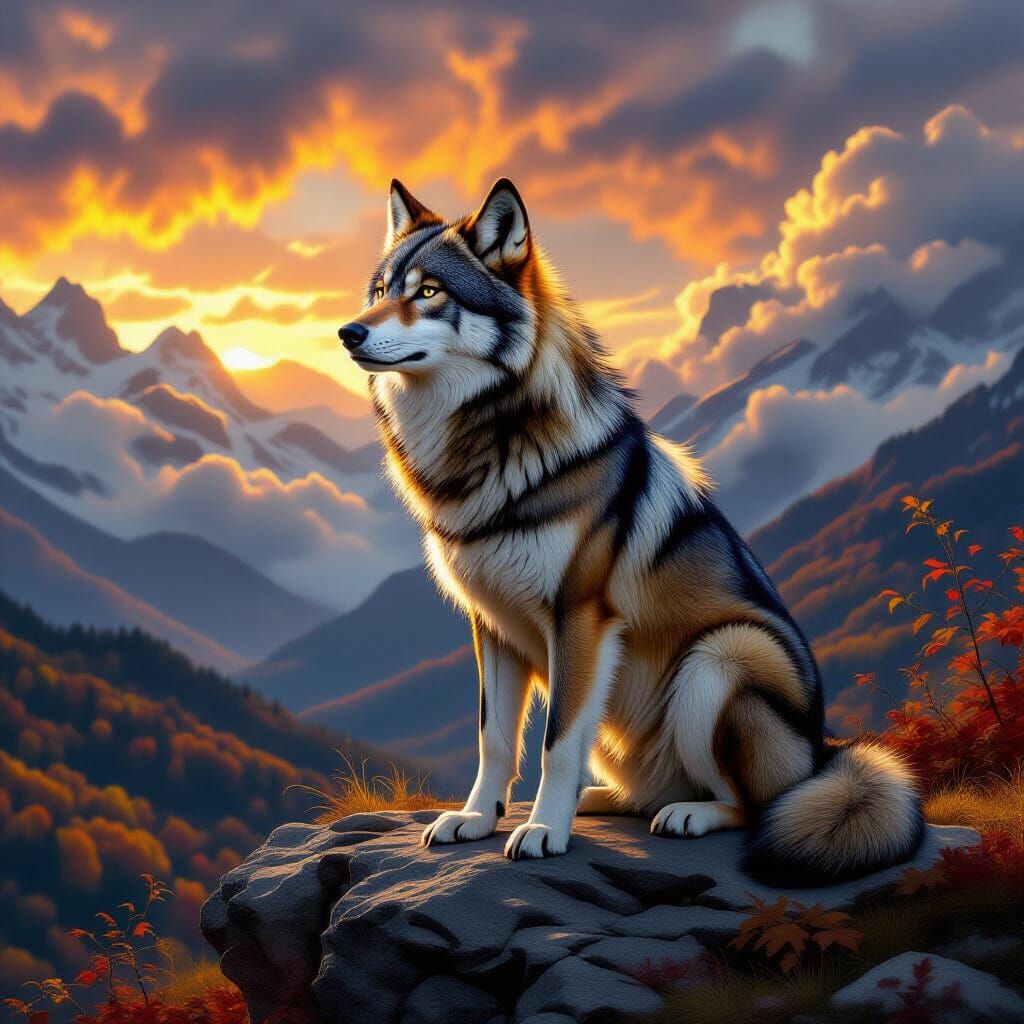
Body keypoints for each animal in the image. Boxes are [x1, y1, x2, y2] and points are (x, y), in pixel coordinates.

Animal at [337, 177, 924, 882]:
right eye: (380, 290)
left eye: (428, 292)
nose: (346, 332)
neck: (489, 446)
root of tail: (822, 754)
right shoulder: (491, 623)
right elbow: (494, 739)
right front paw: (477, 819)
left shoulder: (580, 617)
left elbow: (557, 741)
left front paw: (542, 831)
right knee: (650, 789)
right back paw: (598, 800)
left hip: (721, 657)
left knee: (749, 803)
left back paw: (685, 815)